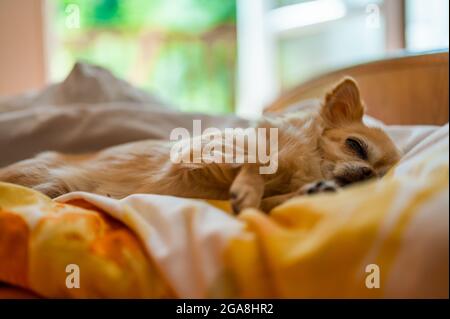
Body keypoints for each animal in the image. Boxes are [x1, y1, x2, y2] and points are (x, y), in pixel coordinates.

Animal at [0, 78, 400, 214]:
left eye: (382, 177)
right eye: (355, 146)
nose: (367, 174)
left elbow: (267, 203)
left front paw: (312, 191)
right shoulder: (200, 150)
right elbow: (256, 164)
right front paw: (249, 188)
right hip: (43, 180)